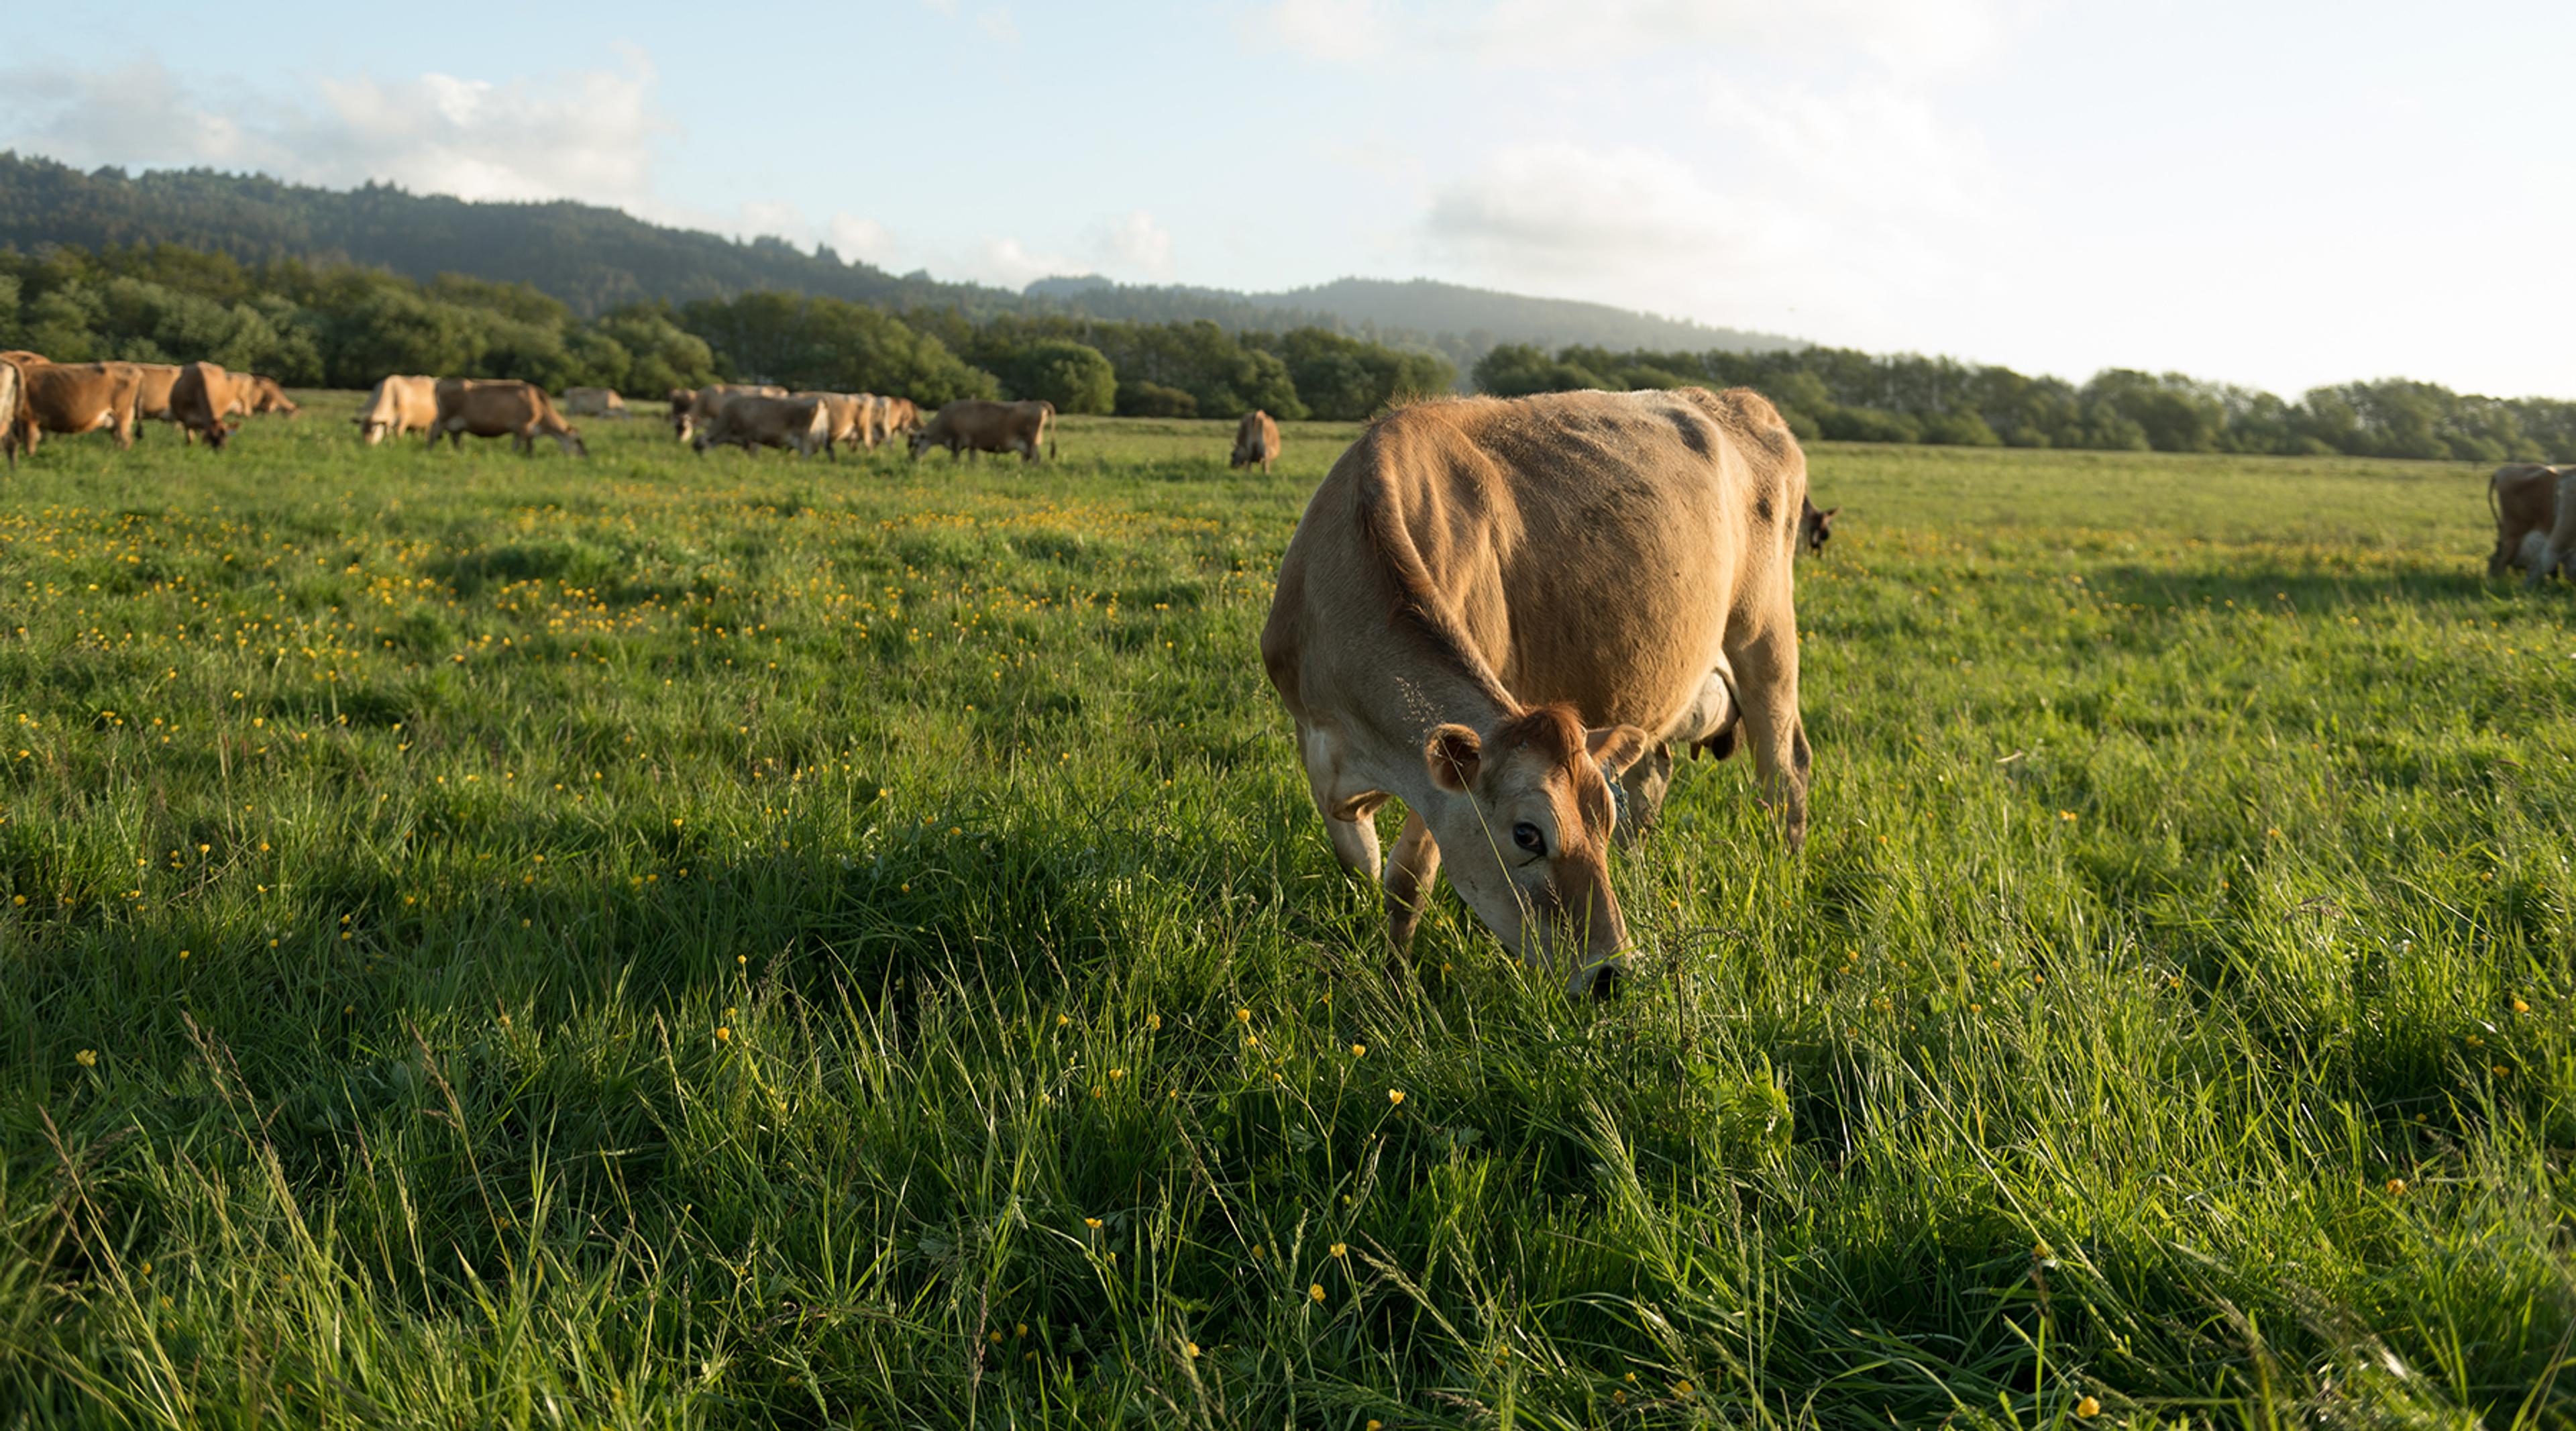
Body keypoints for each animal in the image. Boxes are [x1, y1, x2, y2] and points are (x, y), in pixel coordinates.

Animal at [16, 361, 143, 454]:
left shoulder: (28, 419)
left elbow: (30, 444)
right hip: (115, 419)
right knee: (118, 438)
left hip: (122, 415)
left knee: (126, 439)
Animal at [428, 379, 588, 456]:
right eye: (578, 441)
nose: (585, 455)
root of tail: (442, 382)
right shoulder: (525, 426)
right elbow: (525, 446)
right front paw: (528, 456)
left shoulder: (521, 430)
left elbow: (519, 444)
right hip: (444, 417)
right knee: (433, 432)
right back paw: (429, 450)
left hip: (457, 423)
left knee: (455, 438)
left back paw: (460, 453)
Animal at [693, 394, 828, 457]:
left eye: (701, 449)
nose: (702, 462)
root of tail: (819, 401)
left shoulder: (750, 438)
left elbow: (752, 455)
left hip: (806, 444)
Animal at [909, 399, 1055, 463]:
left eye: (916, 444)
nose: (912, 459)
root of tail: (1036, 402)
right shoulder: (972, 445)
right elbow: (972, 459)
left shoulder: (956, 442)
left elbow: (955, 457)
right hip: (1026, 445)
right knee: (1026, 458)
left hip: (1031, 443)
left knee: (1036, 458)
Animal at [1259, 387, 1813, 998]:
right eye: (1528, 834)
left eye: (1598, 822)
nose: (1610, 973)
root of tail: (1739, 401)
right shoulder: (1317, 744)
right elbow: (1359, 861)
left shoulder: (1439, 776)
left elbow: (1407, 879)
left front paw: (1397, 984)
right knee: (1654, 775)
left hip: (1767, 642)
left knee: (1785, 771)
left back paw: (1787, 872)